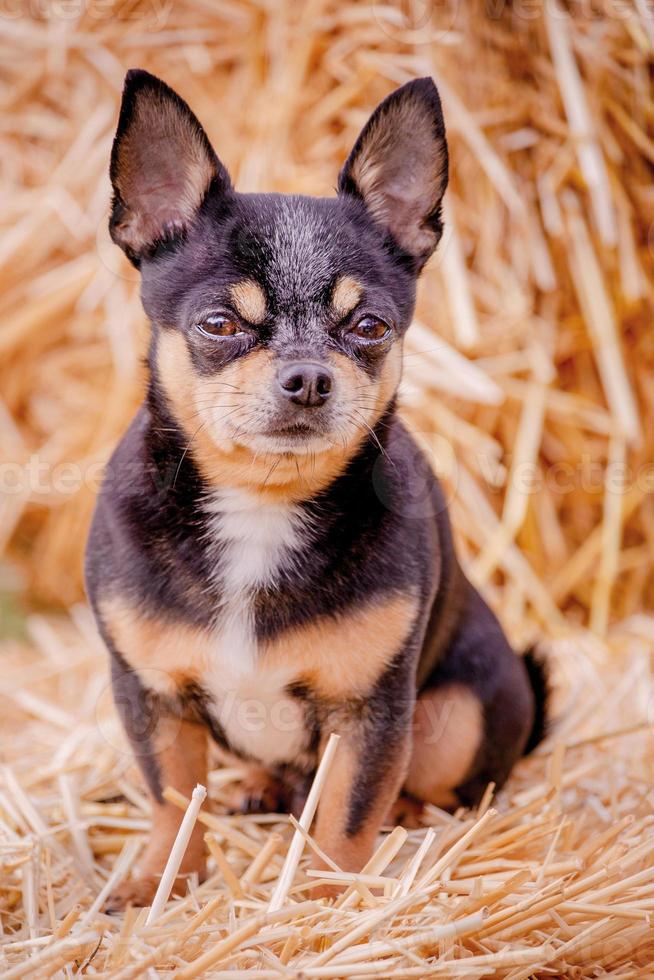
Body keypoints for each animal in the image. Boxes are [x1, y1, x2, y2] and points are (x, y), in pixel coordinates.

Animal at [86, 71, 548, 912]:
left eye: (369, 327)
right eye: (219, 324)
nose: (307, 377)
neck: (260, 503)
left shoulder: (370, 714)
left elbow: (348, 817)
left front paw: (333, 902)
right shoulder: (152, 699)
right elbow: (172, 801)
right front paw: (160, 882)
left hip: (456, 713)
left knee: (436, 786)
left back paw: (402, 813)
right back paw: (258, 786)